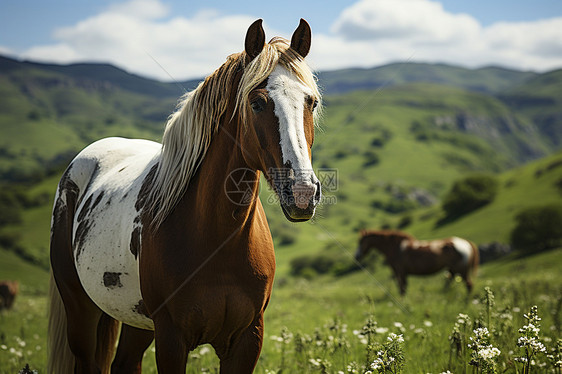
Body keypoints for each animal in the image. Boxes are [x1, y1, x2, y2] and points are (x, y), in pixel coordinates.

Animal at [49, 19, 322, 372]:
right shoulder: (171, 339)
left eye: (311, 102)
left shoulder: (247, 339)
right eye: (257, 102)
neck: (216, 240)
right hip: (80, 309)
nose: (302, 192)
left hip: (137, 322)